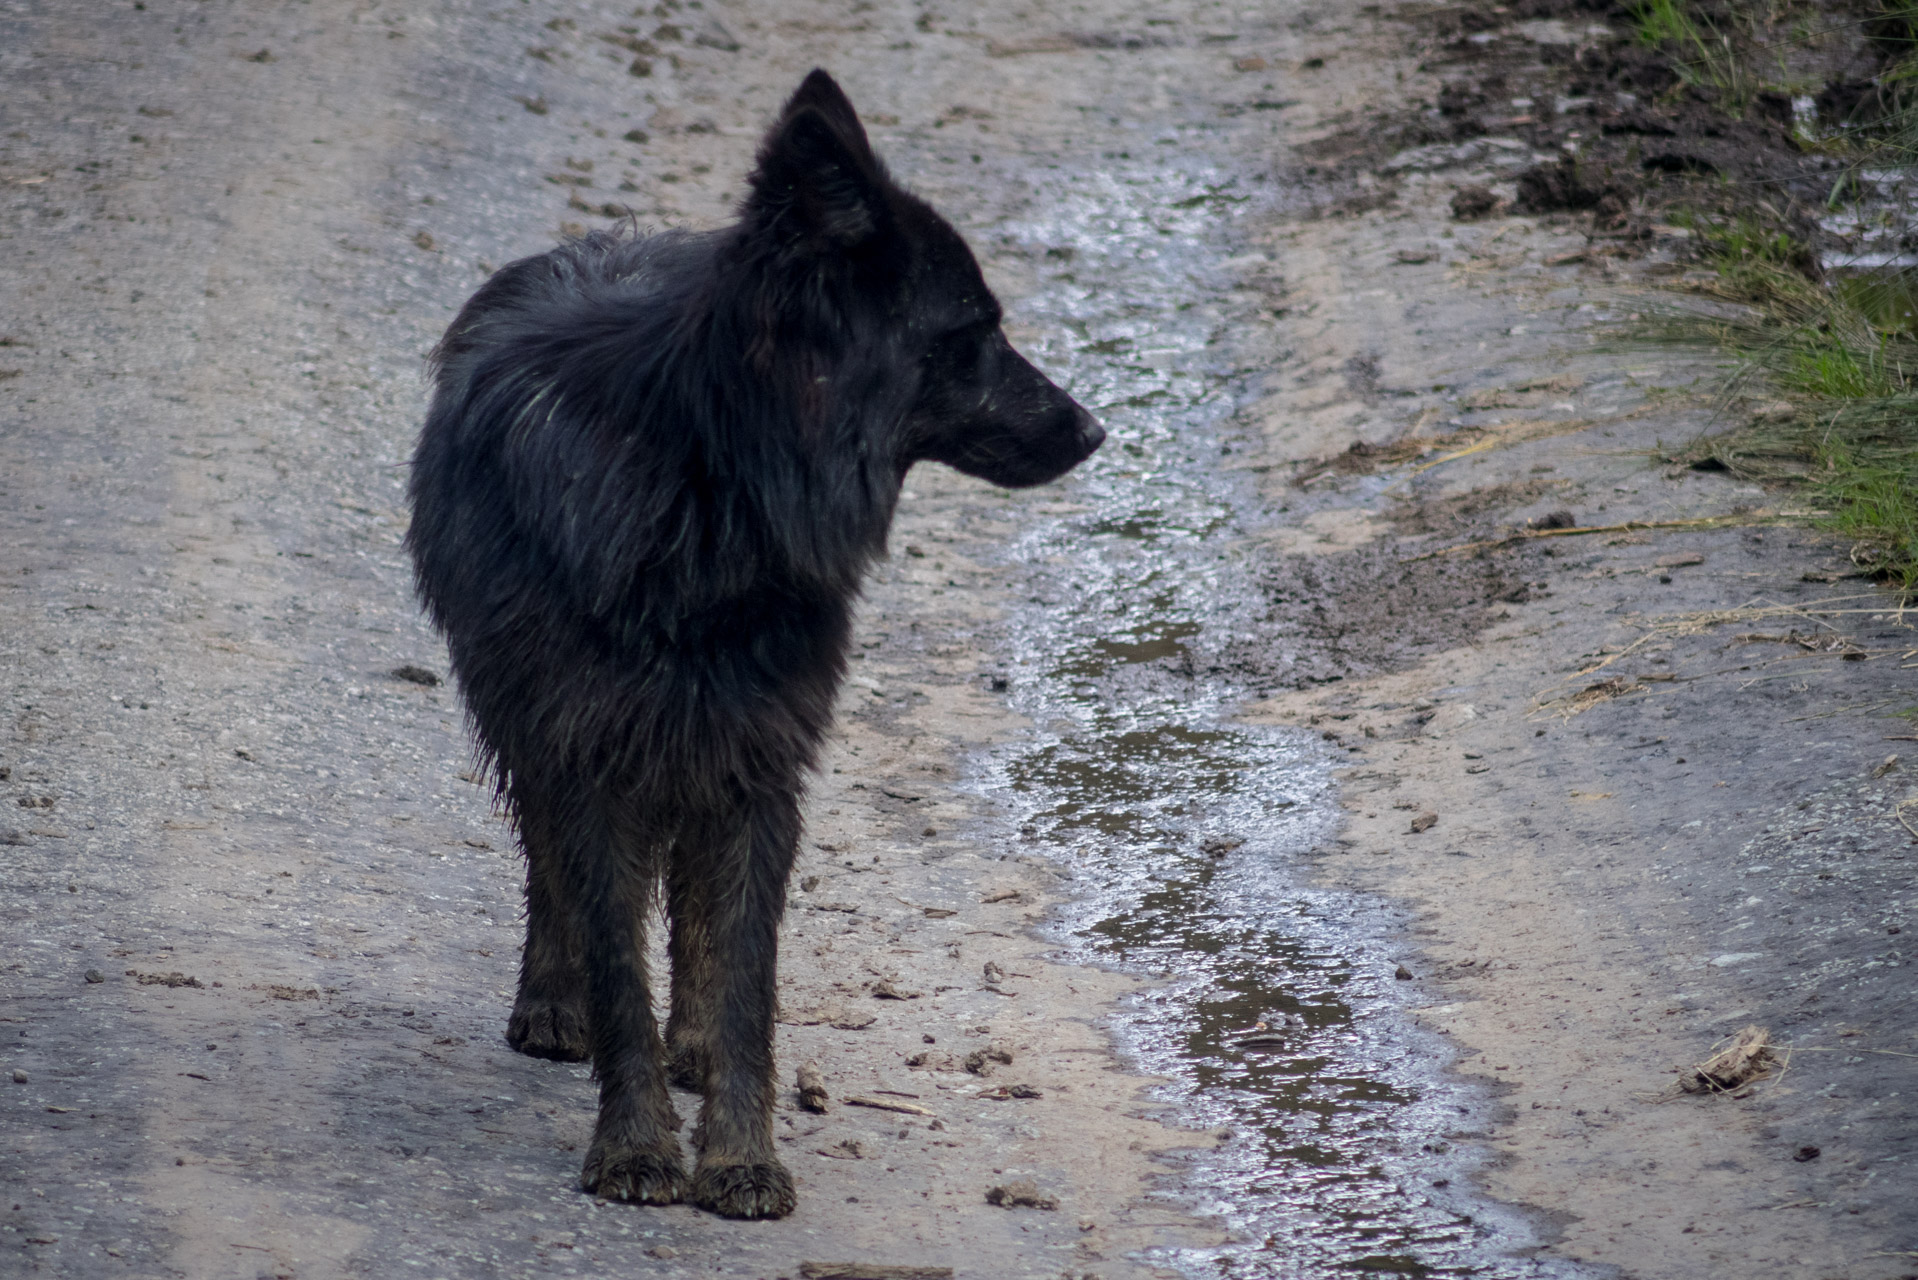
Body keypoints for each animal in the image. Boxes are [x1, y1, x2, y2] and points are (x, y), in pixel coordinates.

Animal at [404, 70, 1104, 1220]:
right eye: (972, 330)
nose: (1092, 431)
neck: (713, 494)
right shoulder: (593, 749)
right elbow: (616, 955)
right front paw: (635, 1143)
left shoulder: (760, 759)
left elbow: (743, 975)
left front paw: (737, 1155)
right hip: (532, 715)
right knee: (548, 858)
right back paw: (553, 998)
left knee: (693, 906)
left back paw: (684, 1040)